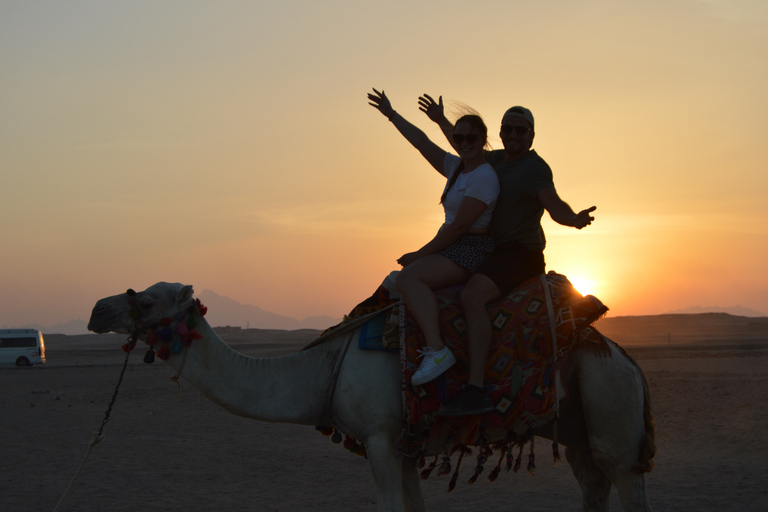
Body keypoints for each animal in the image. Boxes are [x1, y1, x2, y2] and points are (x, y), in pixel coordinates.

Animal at [88, 282, 656, 510]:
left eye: (149, 298)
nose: (97, 310)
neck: (325, 368)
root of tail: (626, 361)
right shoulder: (404, 446)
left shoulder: (381, 440)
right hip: (579, 430)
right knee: (592, 483)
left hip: (611, 411)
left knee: (624, 482)